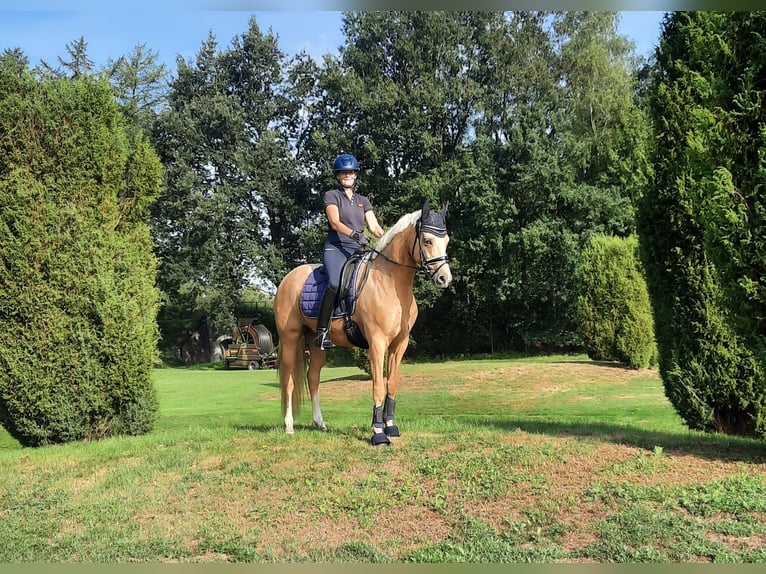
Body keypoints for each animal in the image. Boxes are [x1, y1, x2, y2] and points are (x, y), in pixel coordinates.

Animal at [273, 200, 452, 445]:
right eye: (427, 241)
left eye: (447, 241)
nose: (445, 279)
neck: (390, 283)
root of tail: (287, 279)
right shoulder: (377, 343)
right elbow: (378, 386)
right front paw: (378, 432)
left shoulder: (399, 344)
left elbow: (391, 383)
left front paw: (390, 427)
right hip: (290, 338)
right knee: (290, 380)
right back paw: (289, 426)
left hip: (316, 343)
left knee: (313, 379)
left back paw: (320, 424)